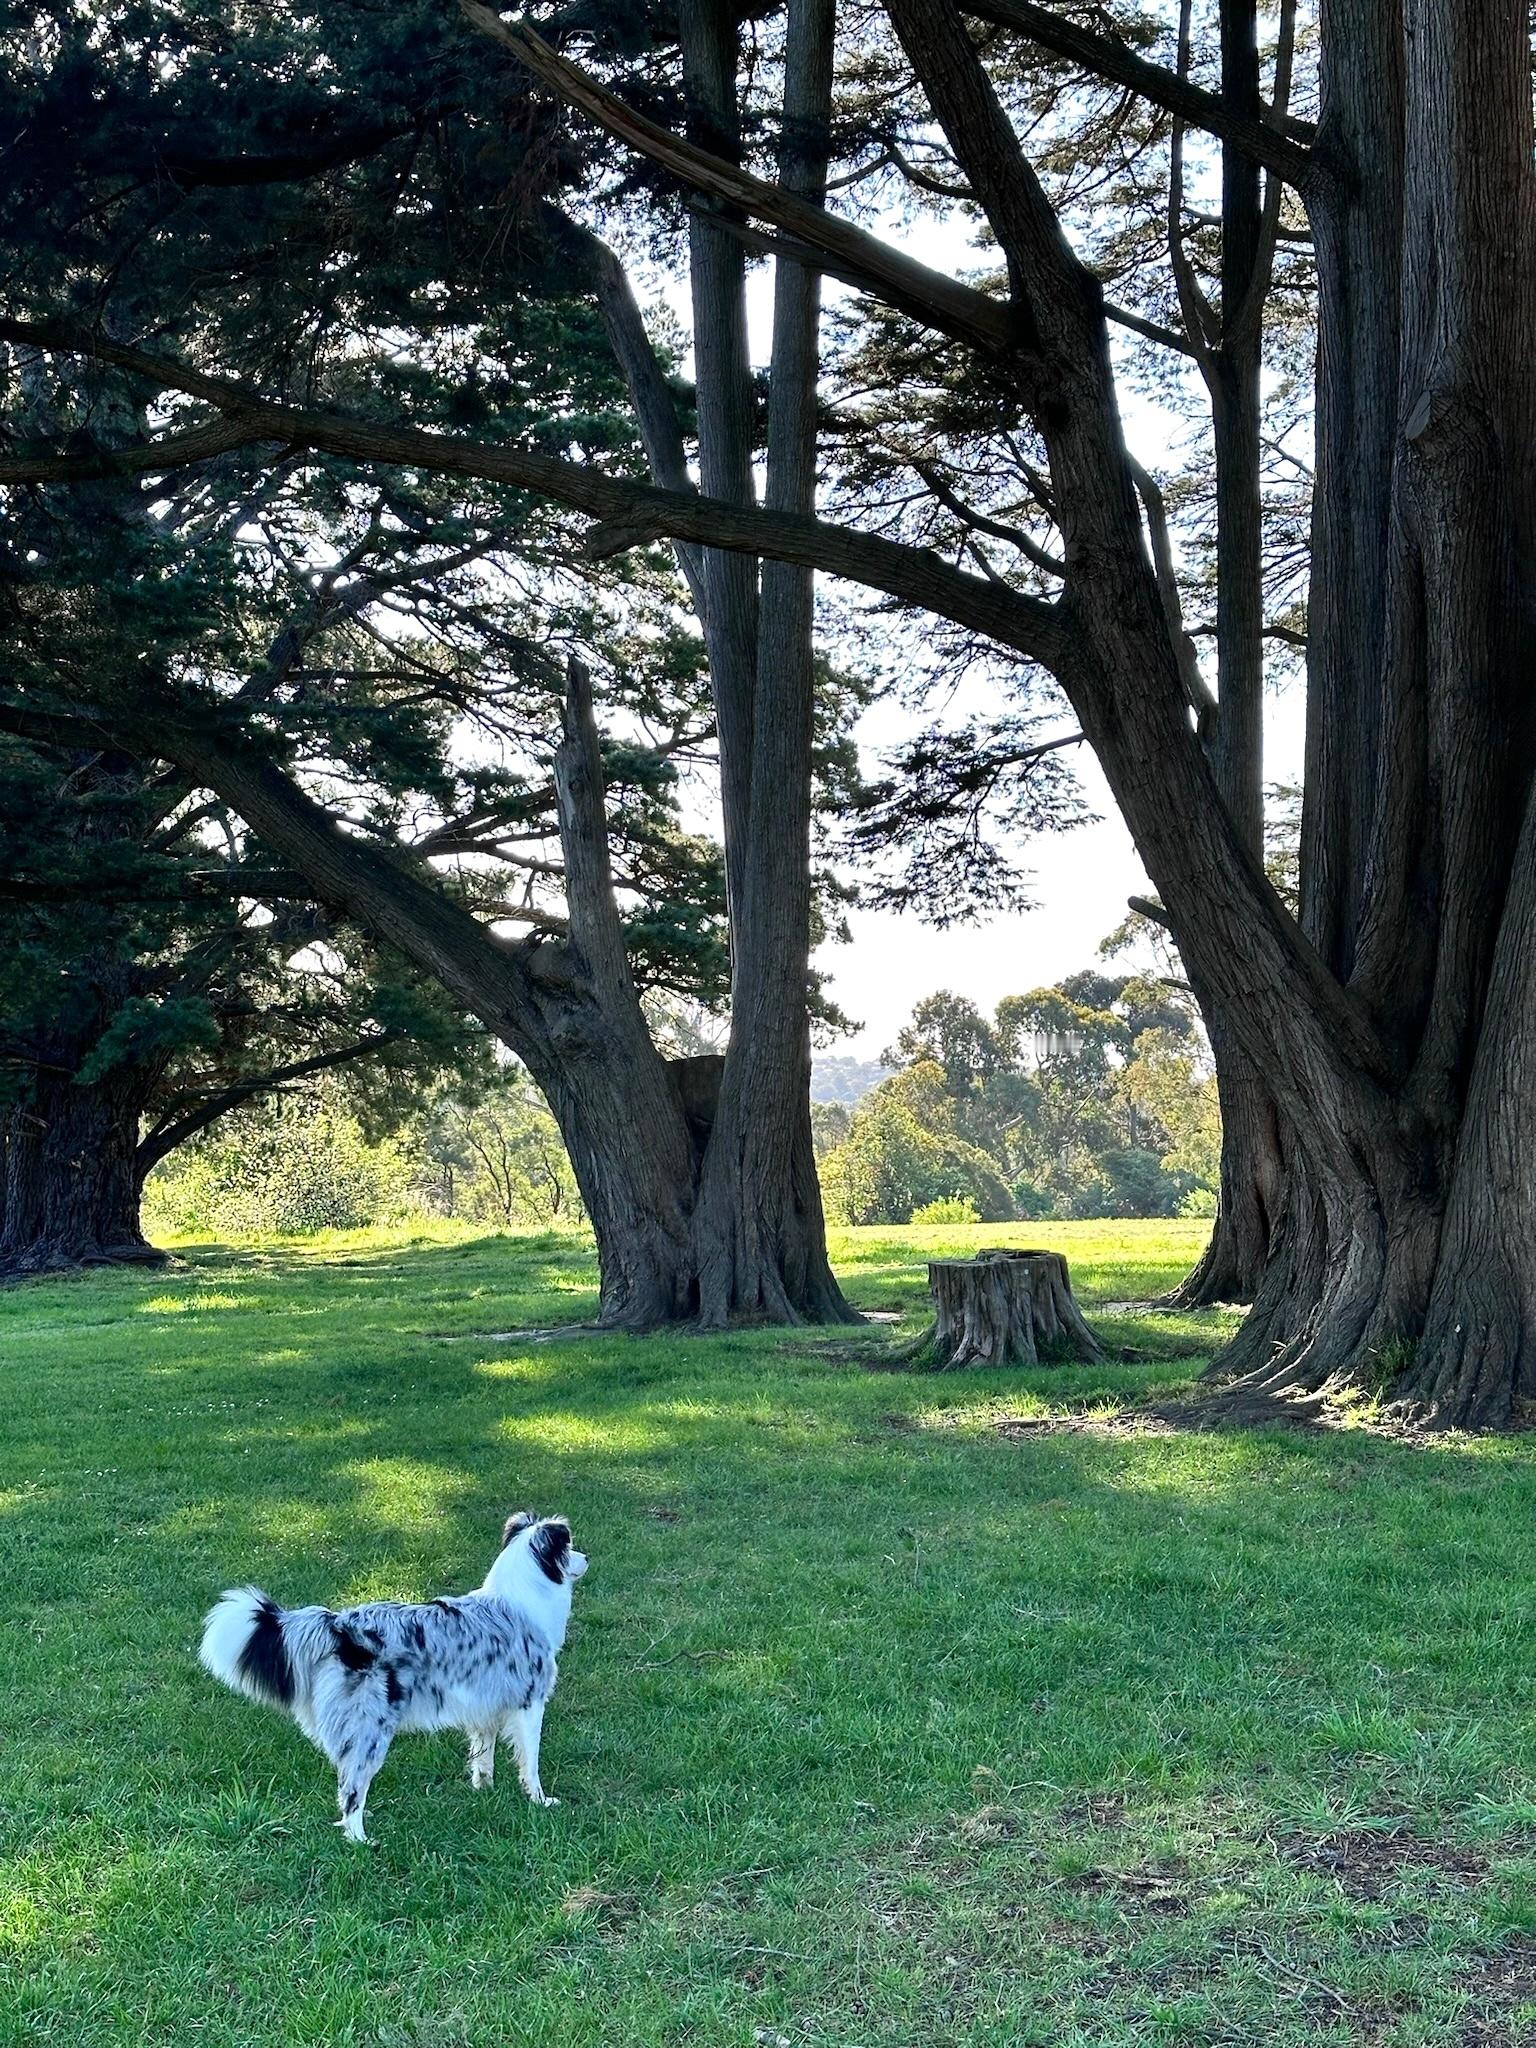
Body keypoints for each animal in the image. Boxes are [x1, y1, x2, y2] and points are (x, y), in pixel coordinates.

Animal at [198, 1523, 589, 1843]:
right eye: (569, 1547)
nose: (587, 1558)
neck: (522, 1599)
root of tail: (337, 1626)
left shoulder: (484, 1707)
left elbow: (483, 1758)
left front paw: (485, 1792)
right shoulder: (530, 1703)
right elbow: (530, 1762)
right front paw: (540, 1801)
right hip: (370, 1730)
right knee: (351, 1789)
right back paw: (361, 1840)